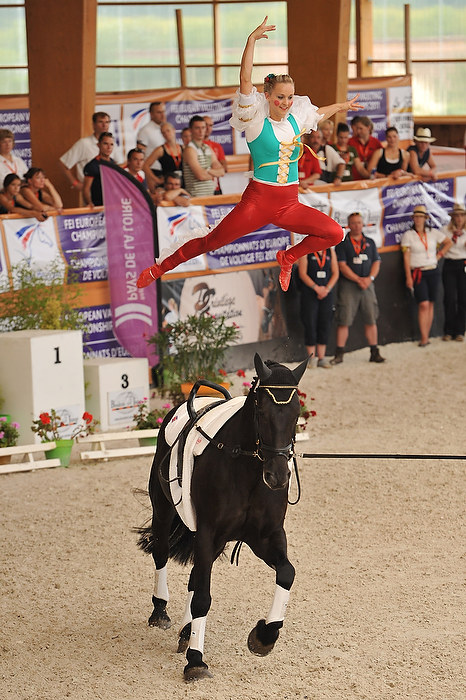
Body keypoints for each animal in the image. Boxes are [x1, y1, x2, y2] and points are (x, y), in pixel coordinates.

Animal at [136, 353, 308, 681]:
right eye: (261, 410)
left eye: (296, 412)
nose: (278, 476)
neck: (247, 470)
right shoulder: (208, 533)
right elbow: (203, 597)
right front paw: (196, 660)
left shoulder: (265, 537)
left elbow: (287, 572)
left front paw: (264, 636)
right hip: (164, 511)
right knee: (162, 553)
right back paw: (160, 612)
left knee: (195, 577)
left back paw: (185, 631)